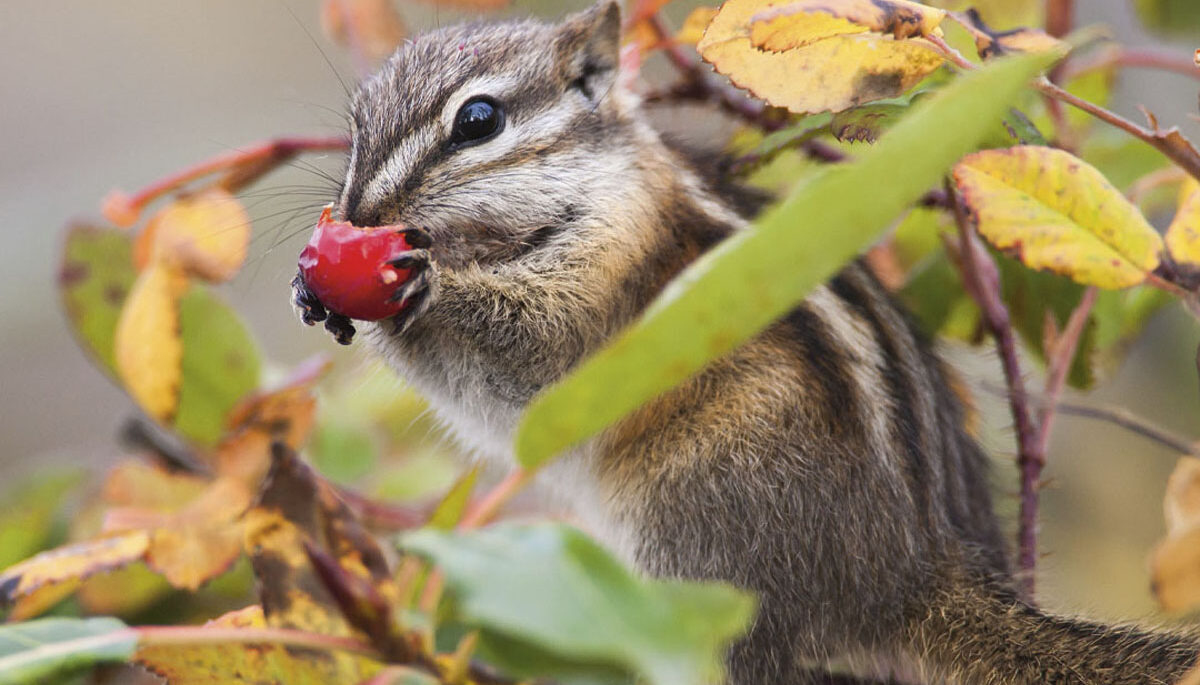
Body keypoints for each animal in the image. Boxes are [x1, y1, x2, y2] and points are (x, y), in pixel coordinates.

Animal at [290, 2, 1200, 683]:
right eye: (357, 122)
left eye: (478, 120)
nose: (359, 214)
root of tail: (913, 574)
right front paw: (319, 290)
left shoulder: (606, 285)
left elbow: (529, 358)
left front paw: (426, 287)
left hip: (700, 523)